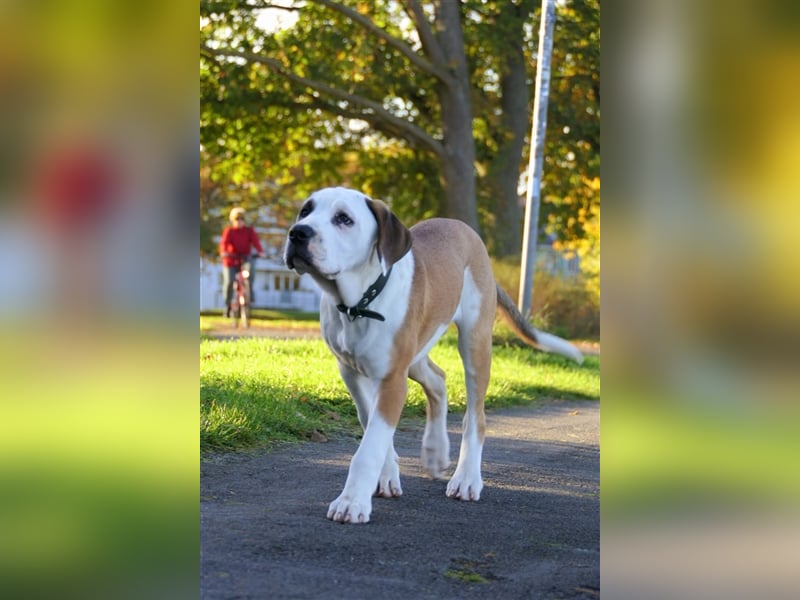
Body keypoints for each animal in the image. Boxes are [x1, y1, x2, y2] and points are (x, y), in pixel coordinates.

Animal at [282, 185, 580, 524]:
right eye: (306, 210)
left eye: (344, 219)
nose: (298, 233)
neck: (360, 303)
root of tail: (463, 228)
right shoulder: (352, 372)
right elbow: (372, 426)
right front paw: (386, 476)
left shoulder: (392, 379)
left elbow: (369, 447)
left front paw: (351, 502)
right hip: (416, 351)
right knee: (437, 379)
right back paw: (436, 451)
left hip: (474, 344)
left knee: (475, 417)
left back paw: (466, 478)